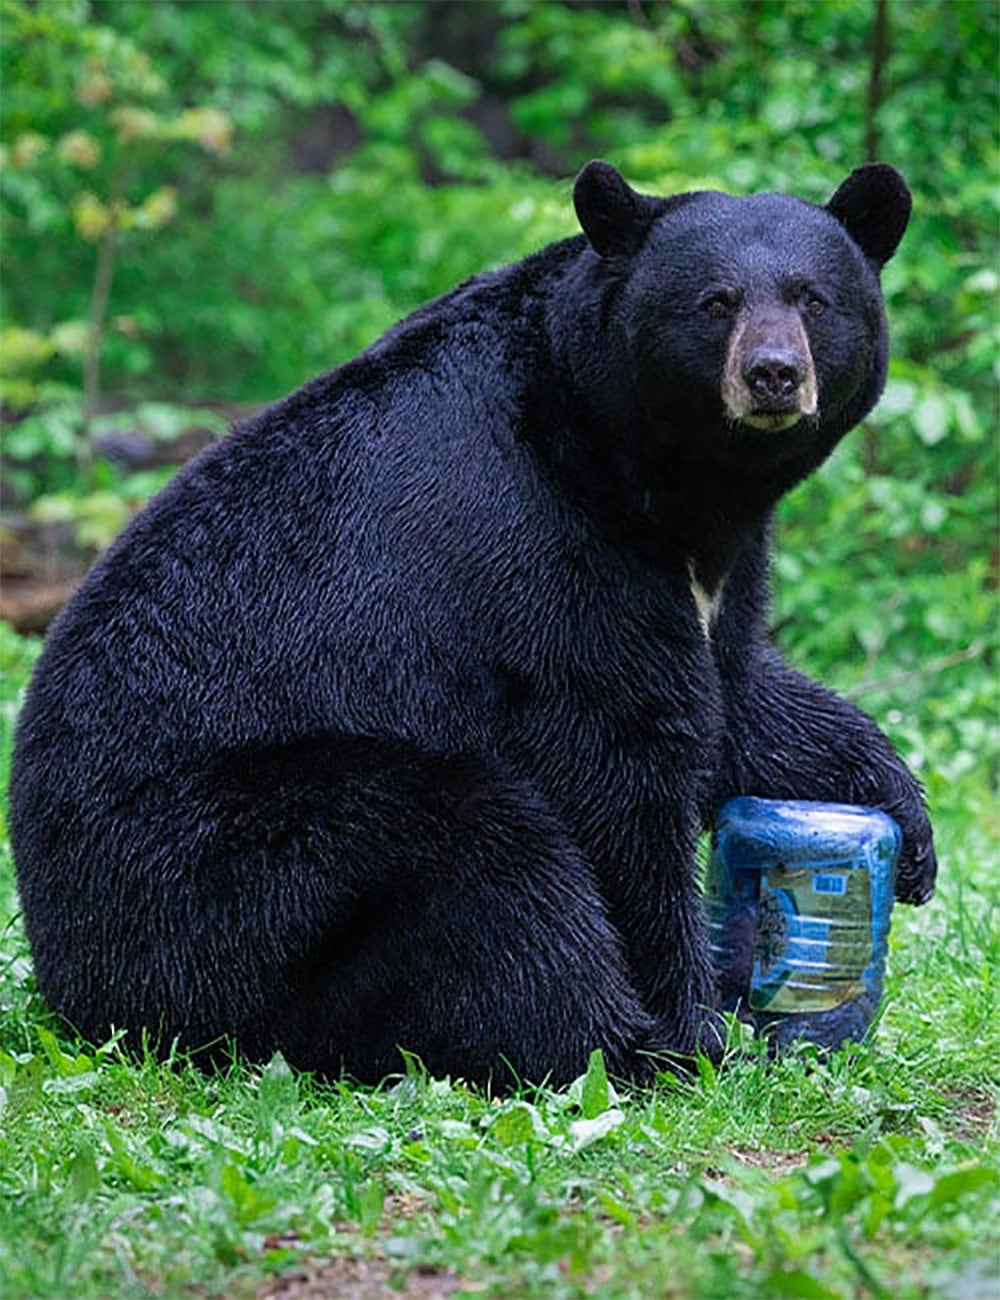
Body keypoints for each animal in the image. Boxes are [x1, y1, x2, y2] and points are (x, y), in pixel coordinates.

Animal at [9, 160, 937, 1090]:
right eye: (715, 301)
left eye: (814, 297)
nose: (774, 374)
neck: (646, 473)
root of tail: (71, 972)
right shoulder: (544, 547)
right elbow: (619, 761)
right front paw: (695, 1028)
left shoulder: (716, 567)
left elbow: (738, 692)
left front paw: (904, 826)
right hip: (222, 865)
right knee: (482, 857)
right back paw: (616, 1042)